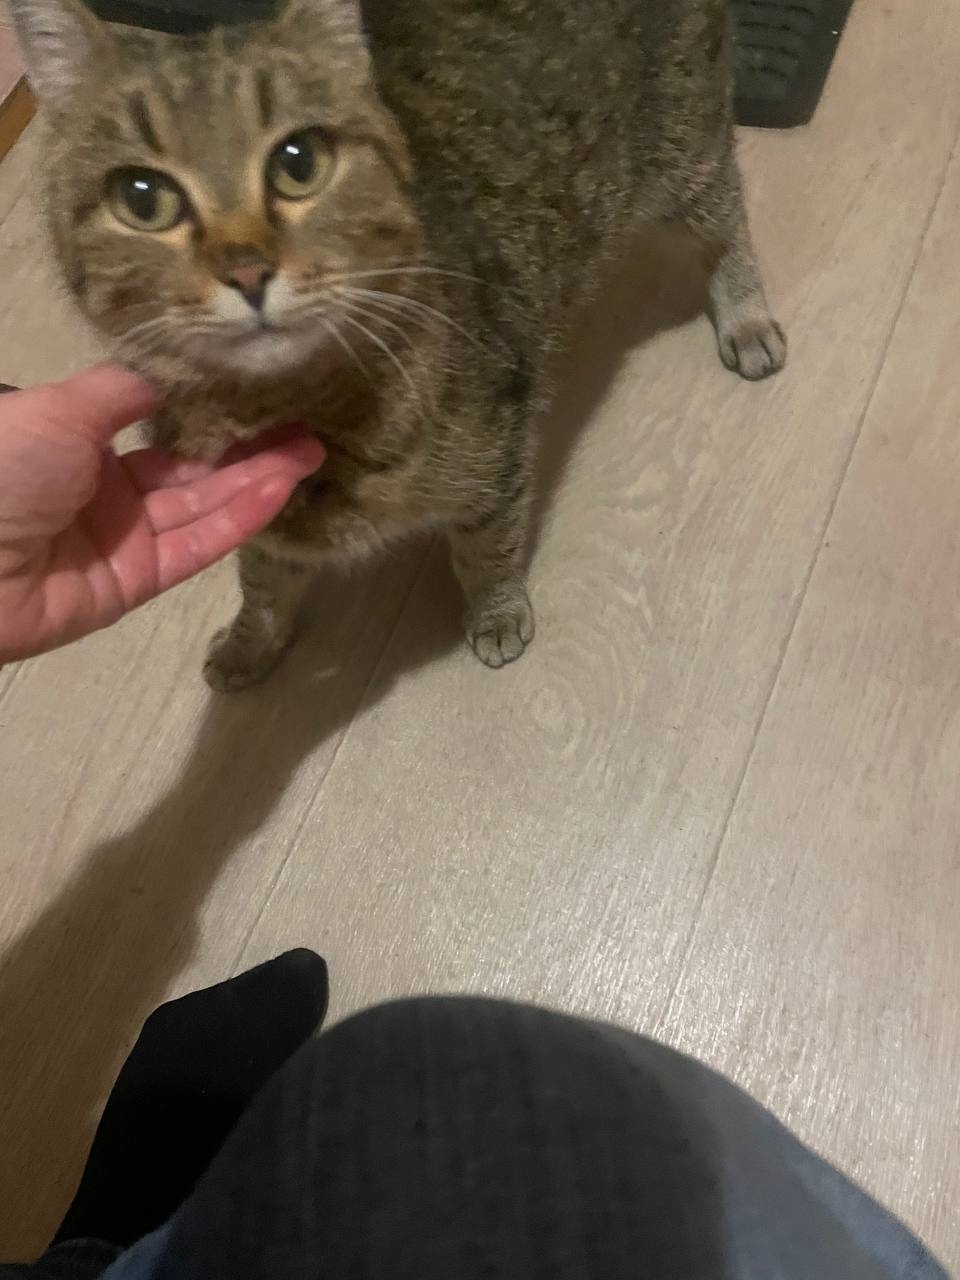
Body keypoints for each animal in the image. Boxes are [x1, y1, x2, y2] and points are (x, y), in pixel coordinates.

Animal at [9, 0, 786, 689]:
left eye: (298, 161)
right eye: (142, 198)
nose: (248, 270)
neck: (297, 408)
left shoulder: (500, 452)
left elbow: (486, 545)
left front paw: (496, 614)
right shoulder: (266, 526)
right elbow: (262, 589)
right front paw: (248, 647)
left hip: (686, 141)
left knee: (729, 216)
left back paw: (747, 321)